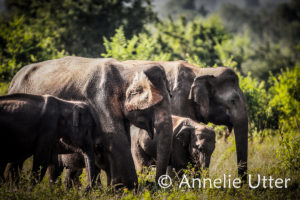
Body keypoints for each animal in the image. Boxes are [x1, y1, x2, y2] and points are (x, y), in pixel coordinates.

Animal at [8, 56, 173, 189]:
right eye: (156, 104)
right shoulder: (100, 99)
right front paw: (127, 188)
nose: (156, 185)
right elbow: (115, 137)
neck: (128, 68)